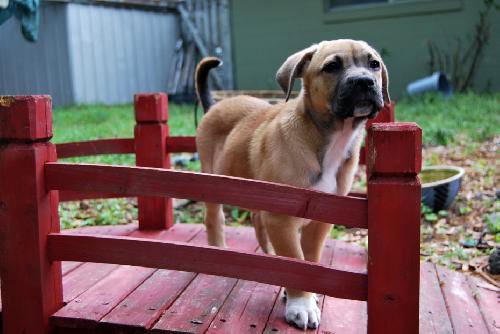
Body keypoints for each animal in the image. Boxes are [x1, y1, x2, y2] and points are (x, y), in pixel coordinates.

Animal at [193, 39, 388, 328]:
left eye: (374, 64)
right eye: (332, 67)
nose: (364, 81)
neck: (329, 138)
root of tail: (215, 105)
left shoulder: (320, 218)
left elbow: (307, 261)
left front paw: (304, 293)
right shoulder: (282, 218)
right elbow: (296, 260)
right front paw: (301, 304)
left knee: (257, 221)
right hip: (214, 182)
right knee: (214, 219)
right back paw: (219, 252)